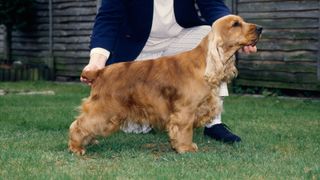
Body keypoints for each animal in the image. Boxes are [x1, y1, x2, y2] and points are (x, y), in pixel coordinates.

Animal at [69, 15, 262, 155]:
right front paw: (186, 148)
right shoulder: (185, 109)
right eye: (236, 24)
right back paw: (76, 148)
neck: (204, 63)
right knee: (79, 124)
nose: (260, 28)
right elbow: (185, 129)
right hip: (104, 108)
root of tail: (99, 72)